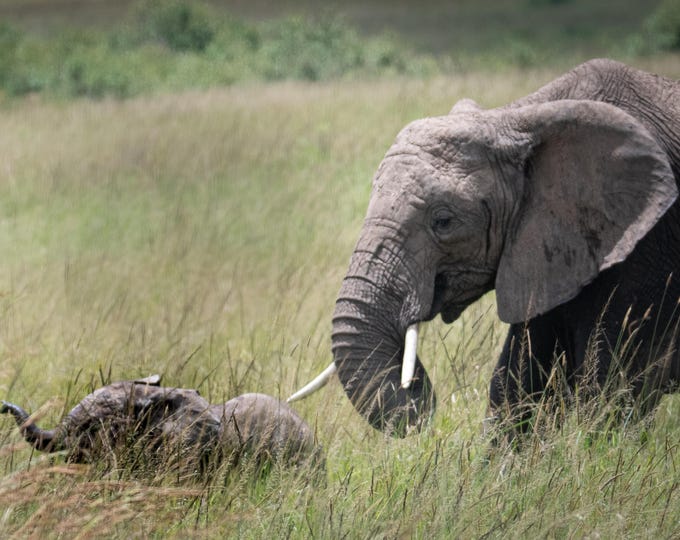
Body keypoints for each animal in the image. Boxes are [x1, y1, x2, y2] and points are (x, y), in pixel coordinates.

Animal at [289, 59, 680, 437]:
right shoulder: (548, 246)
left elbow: (612, 391)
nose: (415, 391)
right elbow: (519, 383)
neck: (518, 117)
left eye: (444, 222)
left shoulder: (648, 246)